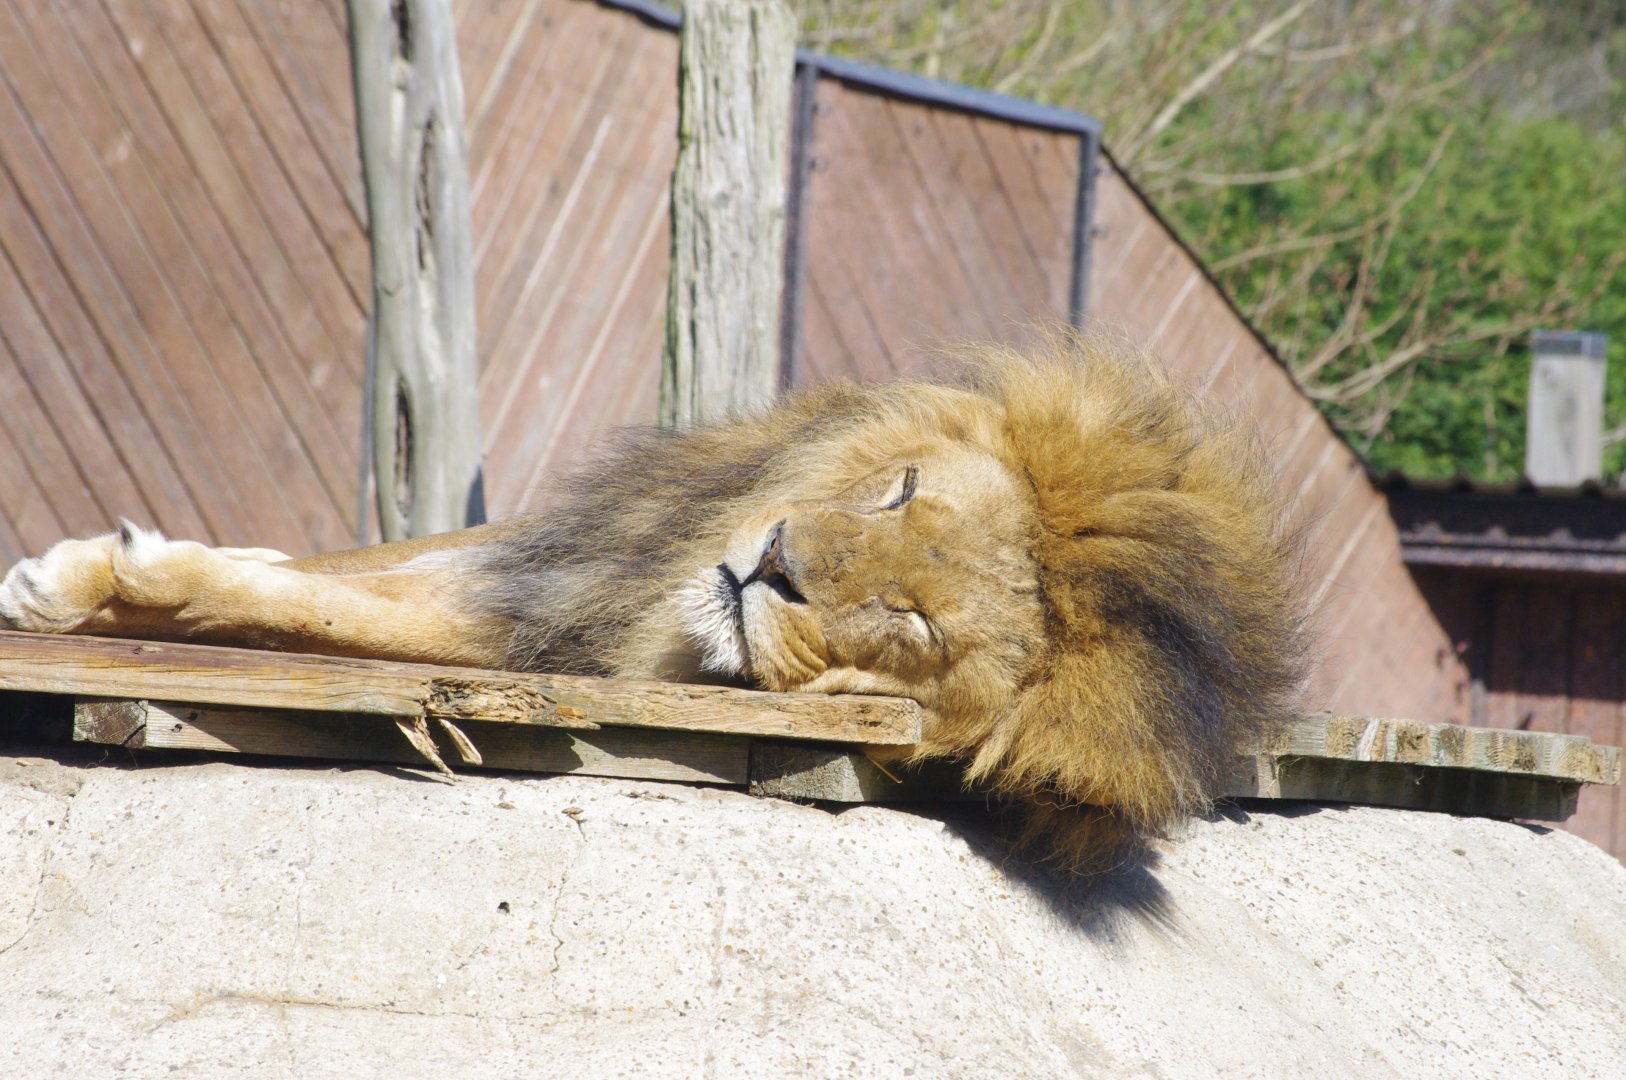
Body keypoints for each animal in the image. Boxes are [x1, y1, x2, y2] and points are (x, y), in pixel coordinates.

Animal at [0, 336, 1306, 872]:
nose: (774, 561)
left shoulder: (536, 625)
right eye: (899, 491)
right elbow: (348, 573)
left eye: (916, 622)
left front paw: (94, 583)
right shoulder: (560, 565)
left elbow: (317, 610)